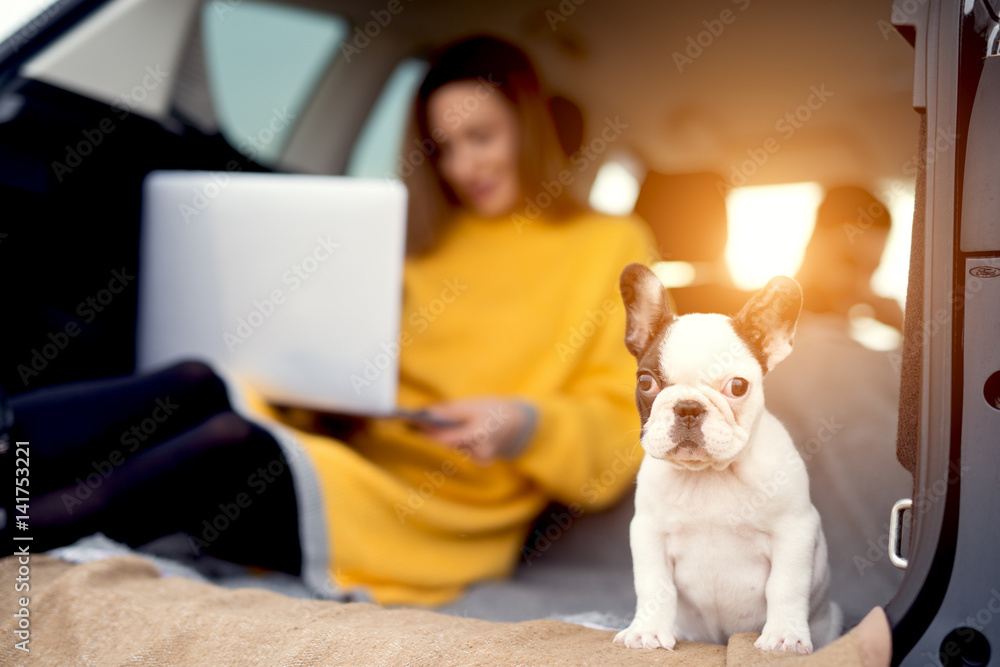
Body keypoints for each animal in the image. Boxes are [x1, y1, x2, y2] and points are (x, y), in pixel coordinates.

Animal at [612, 264, 840, 656]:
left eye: (737, 386)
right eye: (645, 382)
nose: (688, 407)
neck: (709, 475)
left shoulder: (794, 530)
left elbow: (786, 586)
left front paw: (784, 637)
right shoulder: (649, 532)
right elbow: (655, 586)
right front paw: (647, 632)